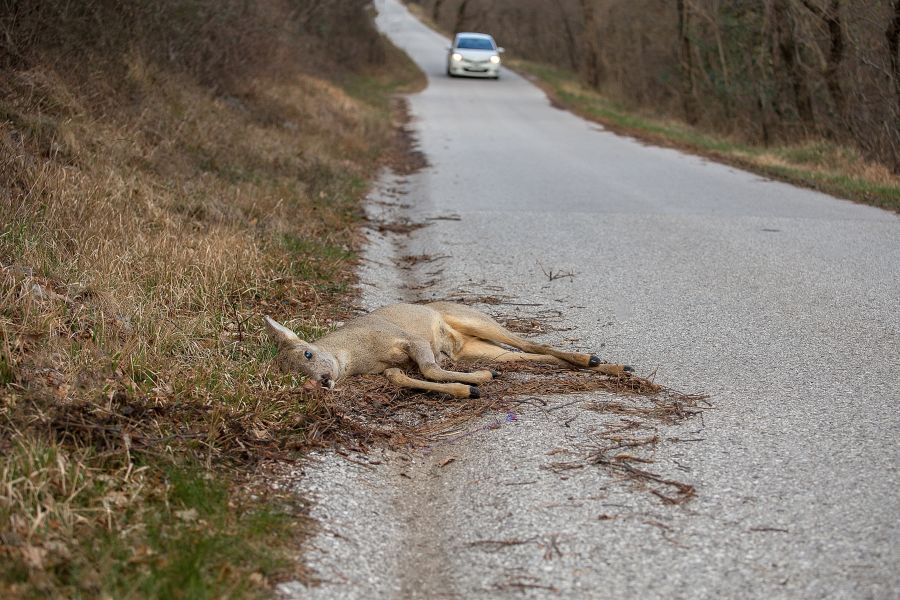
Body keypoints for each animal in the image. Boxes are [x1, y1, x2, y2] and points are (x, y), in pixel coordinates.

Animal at [264, 300, 636, 398]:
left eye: (308, 354)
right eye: (296, 378)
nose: (322, 381)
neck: (357, 355)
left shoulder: (407, 338)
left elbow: (429, 368)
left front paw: (476, 383)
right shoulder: (389, 367)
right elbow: (404, 378)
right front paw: (471, 385)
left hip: (476, 321)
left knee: (530, 341)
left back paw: (597, 359)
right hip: (479, 347)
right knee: (532, 355)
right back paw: (609, 366)